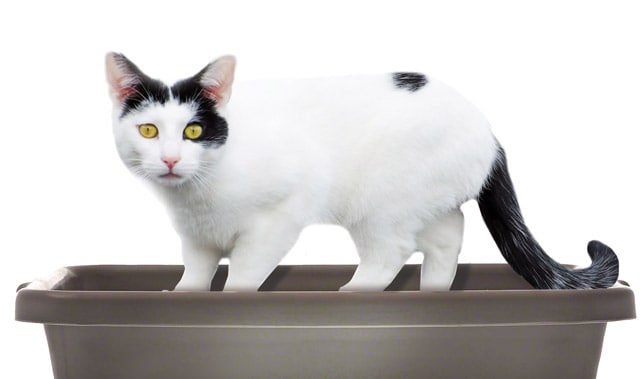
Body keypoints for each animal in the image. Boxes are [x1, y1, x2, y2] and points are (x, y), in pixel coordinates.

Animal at [105, 52, 620, 290]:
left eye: (193, 131)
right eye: (149, 130)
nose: (171, 159)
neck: (197, 197)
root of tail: (489, 135)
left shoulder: (276, 220)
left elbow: (245, 274)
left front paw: (232, 297)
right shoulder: (196, 238)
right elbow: (195, 274)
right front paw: (183, 294)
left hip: (378, 207)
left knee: (393, 251)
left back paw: (355, 291)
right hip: (418, 201)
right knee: (449, 233)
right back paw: (434, 291)